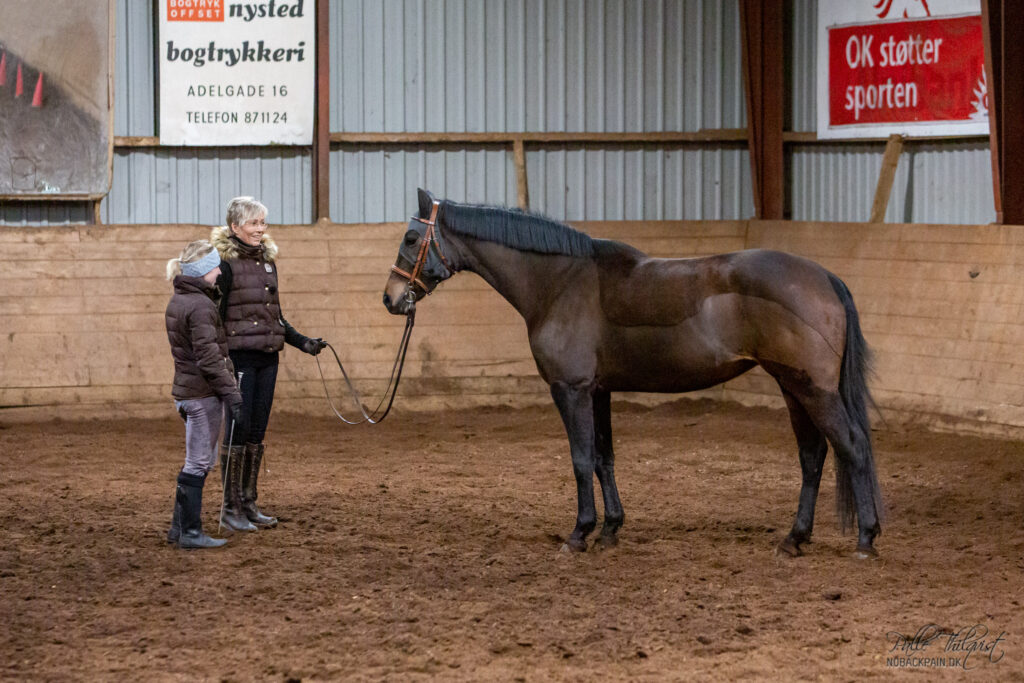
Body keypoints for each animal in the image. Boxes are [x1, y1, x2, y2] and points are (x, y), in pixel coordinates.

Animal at [380, 189, 884, 557]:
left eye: (410, 239)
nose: (391, 298)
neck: (559, 283)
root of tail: (825, 278)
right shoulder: (598, 391)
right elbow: (604, 458)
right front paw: (610, 529)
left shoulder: (571, 390)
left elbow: (581, 459)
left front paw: (579, 534)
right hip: (792, 388)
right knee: (813, 456)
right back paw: (794, 539)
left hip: (812, 390)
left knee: (853, 447)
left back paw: (865, 539)